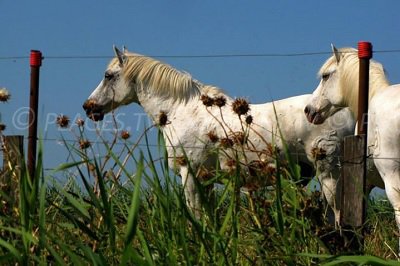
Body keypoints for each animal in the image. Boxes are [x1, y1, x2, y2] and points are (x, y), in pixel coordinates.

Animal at [83, 46, 354, 221]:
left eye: (108, 76)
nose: (88, 107)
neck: (182, 110)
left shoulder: (189, 173)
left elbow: (195, 214)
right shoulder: (206, 180)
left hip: (330, 173)